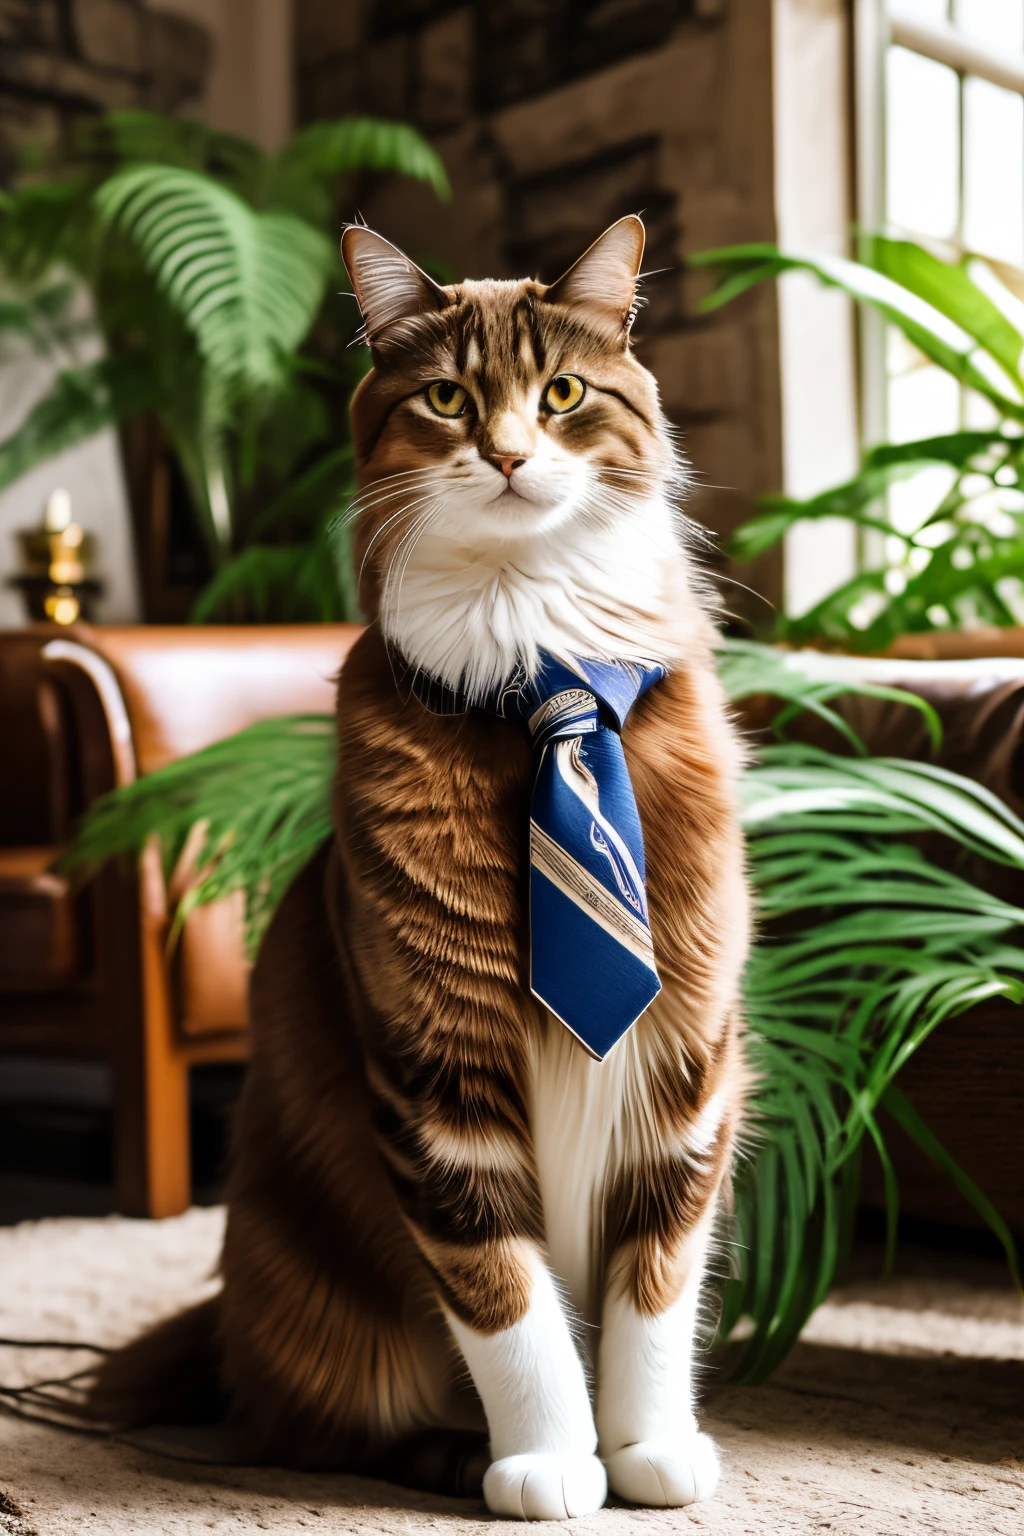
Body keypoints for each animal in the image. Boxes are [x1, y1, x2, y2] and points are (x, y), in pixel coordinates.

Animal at [88, 216, 749, 1523]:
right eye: (447, 397)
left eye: (561, 393)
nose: (505, 453)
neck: (541, 684)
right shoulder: (433, 1078)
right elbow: (507, 1301)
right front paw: (550, 1462)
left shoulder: (688, 1059)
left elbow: (655, 1282)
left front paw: (648, 1447)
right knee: (319, 1429)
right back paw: (445, 1454)